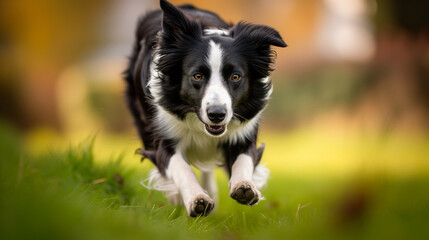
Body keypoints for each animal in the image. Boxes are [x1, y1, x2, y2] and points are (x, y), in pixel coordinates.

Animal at [122, 0, 286, 218]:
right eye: (197, 76)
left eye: (235, 76)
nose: (217, 115)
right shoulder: (163, 136)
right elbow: (181, 167)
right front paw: (196, 199)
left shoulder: (243, 132)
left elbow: (244, 160)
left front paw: (244, 186)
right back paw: (178, 195)